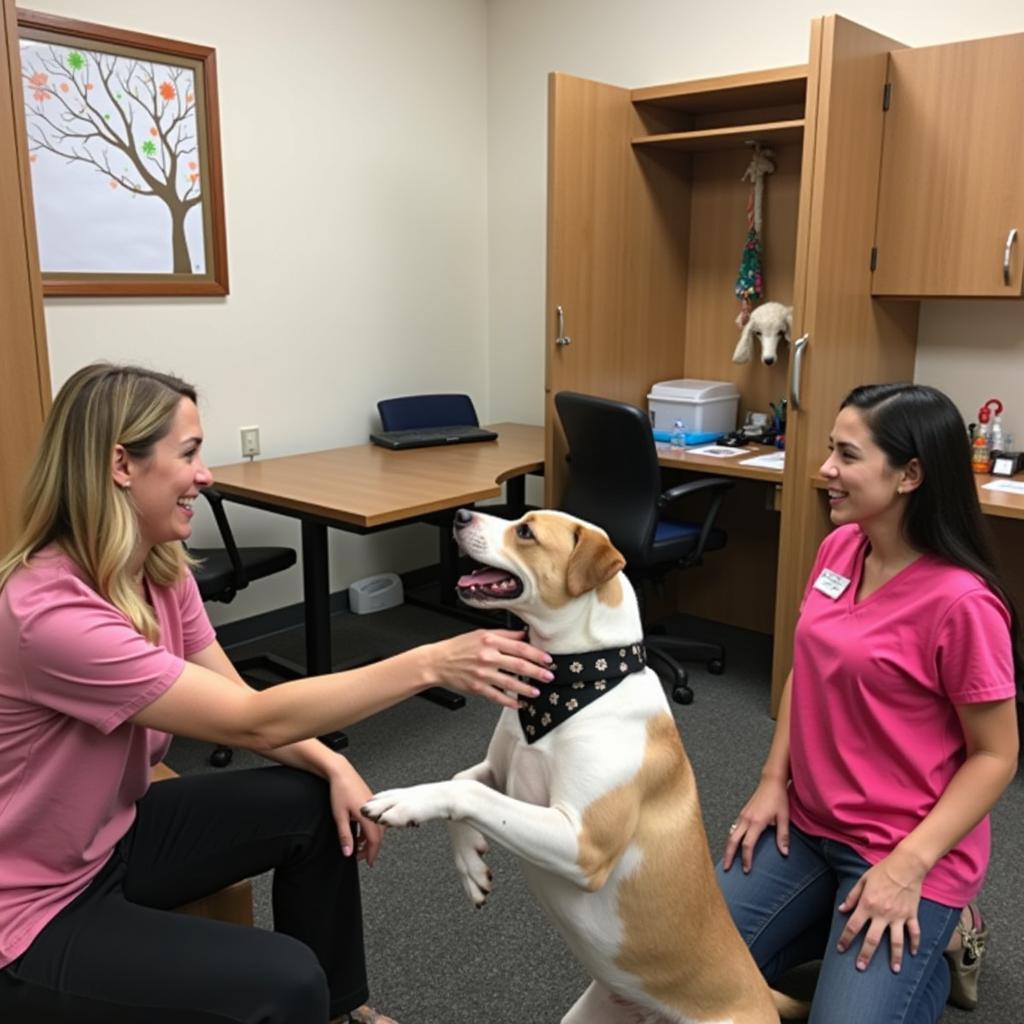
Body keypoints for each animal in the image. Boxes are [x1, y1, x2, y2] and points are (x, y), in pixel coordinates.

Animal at [364, 512, 802, 1024]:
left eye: (525, 531)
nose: (460, 516)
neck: (574, 681)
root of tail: (761, 991)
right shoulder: (501, 770)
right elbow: (461, 783)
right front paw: (471, 864)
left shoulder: (583, 843)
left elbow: (469, 794)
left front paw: (403, 801)